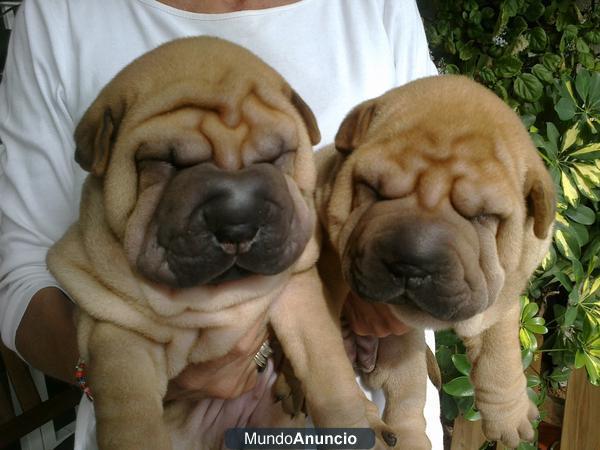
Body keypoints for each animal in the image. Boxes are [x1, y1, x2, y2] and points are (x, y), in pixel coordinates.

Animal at [48, 37, 384, 450]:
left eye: (275, 157)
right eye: (164, 162)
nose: (237, 221)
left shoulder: (300, 297)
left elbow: (329, 375)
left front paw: (349, 417)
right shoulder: (119, 334)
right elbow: (132, 421)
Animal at [316, 75, 556, 448]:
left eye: (482, 216)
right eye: (374, 191)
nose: (411, 263)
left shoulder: (502, 293)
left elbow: (499, 350)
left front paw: (511, 415)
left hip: (404, 355)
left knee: (406, 404)